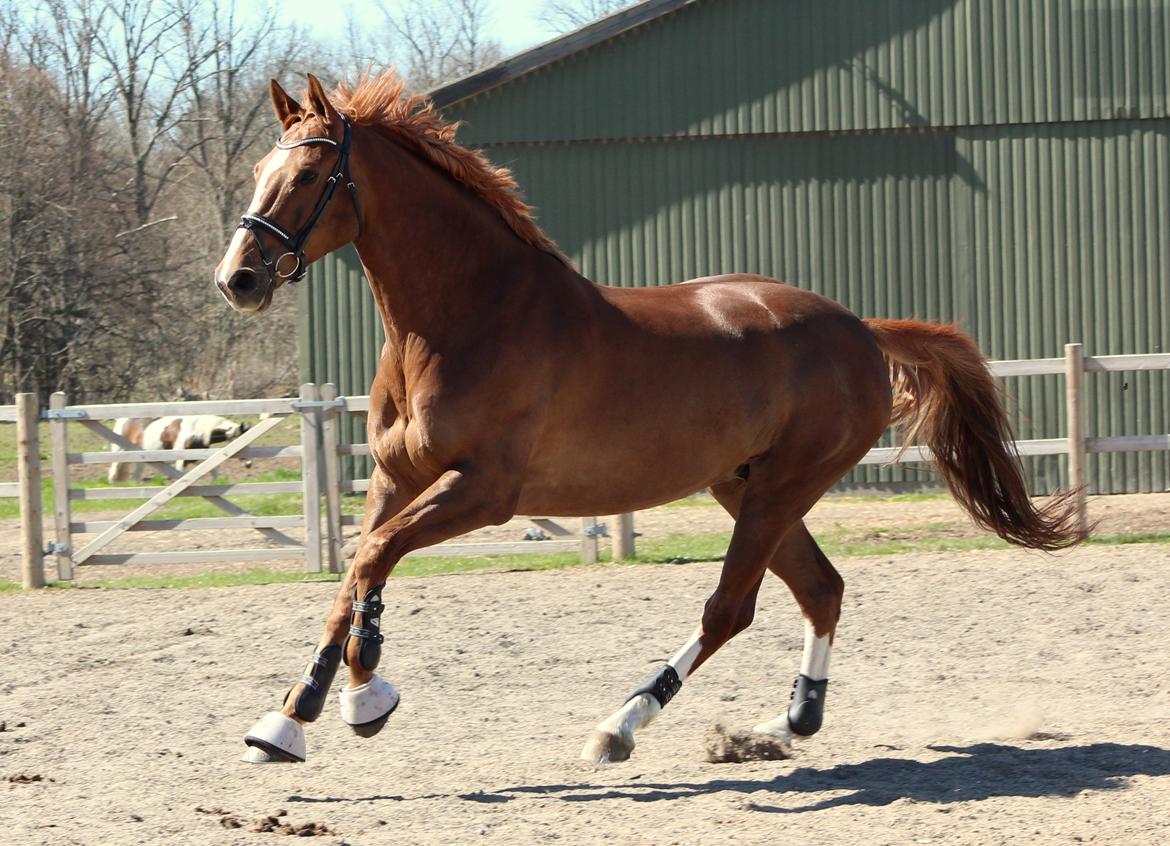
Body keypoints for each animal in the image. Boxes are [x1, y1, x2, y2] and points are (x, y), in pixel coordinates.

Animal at [105, 414, 251, 482]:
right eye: (242, 441)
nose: (249, 464)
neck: (196, 431)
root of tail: (122, 420)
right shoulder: (181, 461)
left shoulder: (198, 459)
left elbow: (214, 473)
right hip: (119, 454)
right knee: (113, 471)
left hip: (139, 460)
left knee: (135, 475)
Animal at [212, 72, 1076, 767]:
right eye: (259, 172)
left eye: (310, 173)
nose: (238, 281)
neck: (465, 317)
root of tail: (861, 330)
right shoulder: (397, 479)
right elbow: (354, 572)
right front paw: (290, 719)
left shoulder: (485, 493)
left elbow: (372, 559)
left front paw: (363, 693)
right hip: (745, 486)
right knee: (820, 588)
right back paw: (788, 722)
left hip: (779, 491)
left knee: (731, 608)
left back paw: (621, 725)